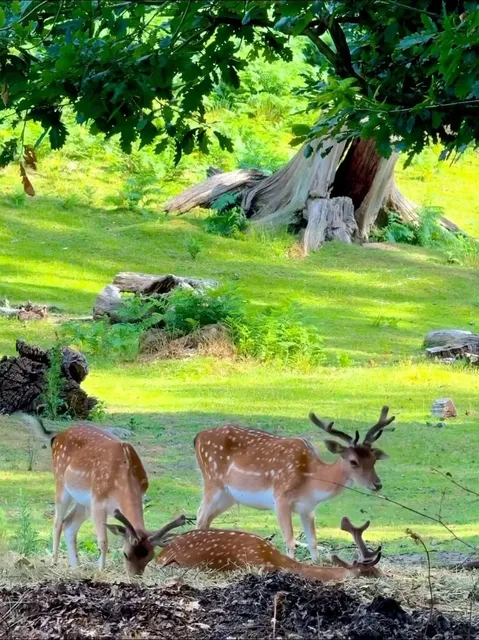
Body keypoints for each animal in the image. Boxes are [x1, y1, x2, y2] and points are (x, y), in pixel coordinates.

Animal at [20, 414, 188, 575]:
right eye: (125, 554)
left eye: (150, 557)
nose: (135, 576)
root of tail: (57, 435)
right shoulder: (98, 501)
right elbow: (103, 541)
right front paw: (101, 571)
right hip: (61, 482)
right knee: (57, 523)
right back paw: (54, 563)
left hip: (84, 502)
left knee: (69, 524)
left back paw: (76, 567)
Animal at [194, 406, 395, 561]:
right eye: (353, 461)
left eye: (373, 459)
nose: (377, 484)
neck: (311, 481)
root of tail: (198, 437)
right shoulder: (280, 498)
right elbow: (290, 540)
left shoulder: (308, 508)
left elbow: (313, 543)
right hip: (212, 481)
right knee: (200, 516)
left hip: (228, 496)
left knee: (206, 519)